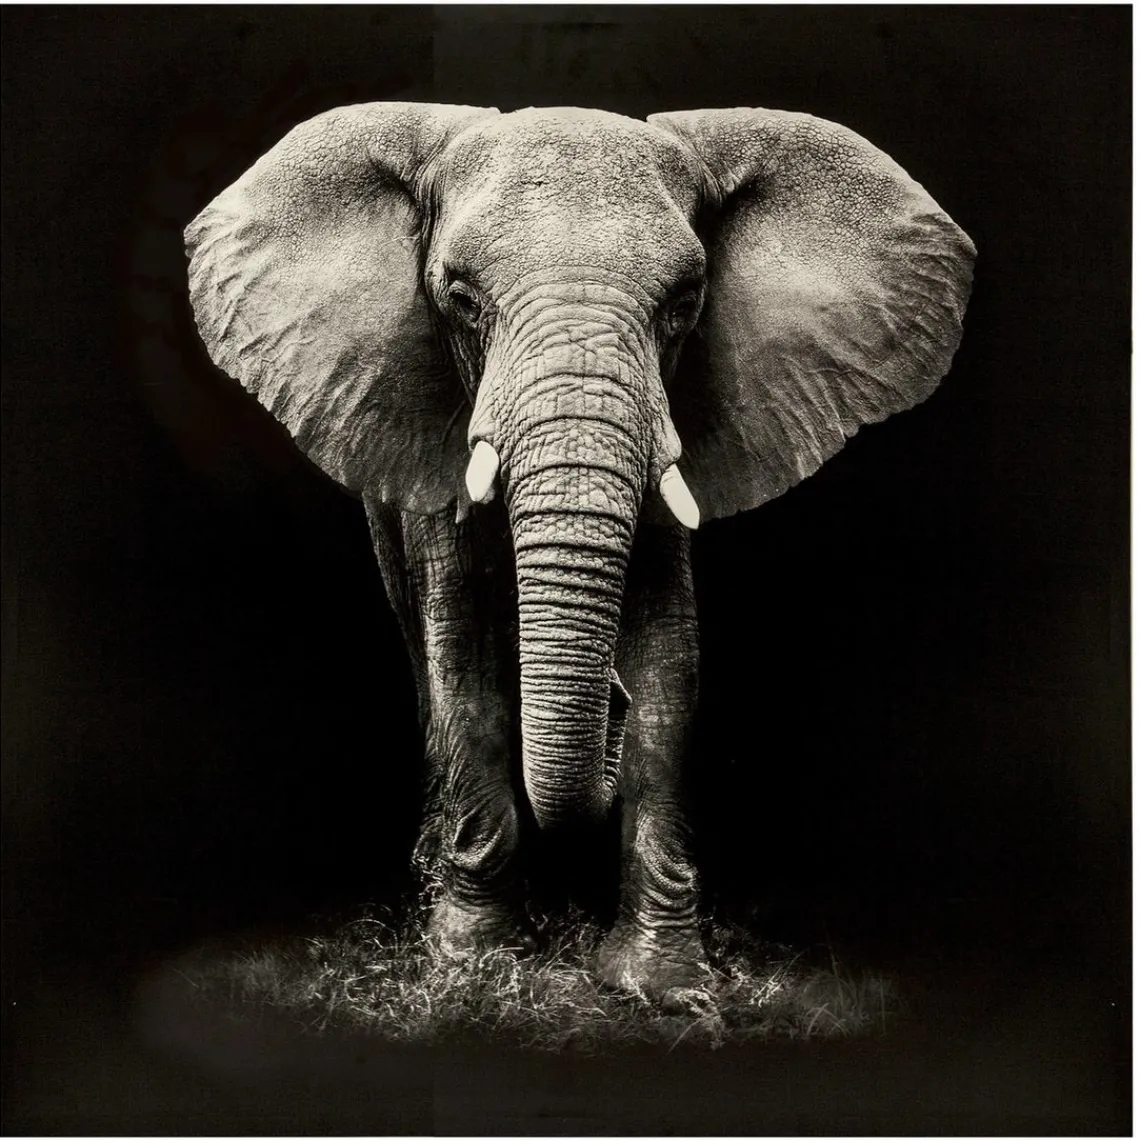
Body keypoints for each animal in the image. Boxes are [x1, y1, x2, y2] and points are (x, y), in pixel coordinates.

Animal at [184, 102, 974, 1003]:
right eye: (460, 298)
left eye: (685, 302)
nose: (609, 704)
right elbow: (465, 664)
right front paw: (476, 966)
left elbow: (671, 669)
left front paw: (661, 985)